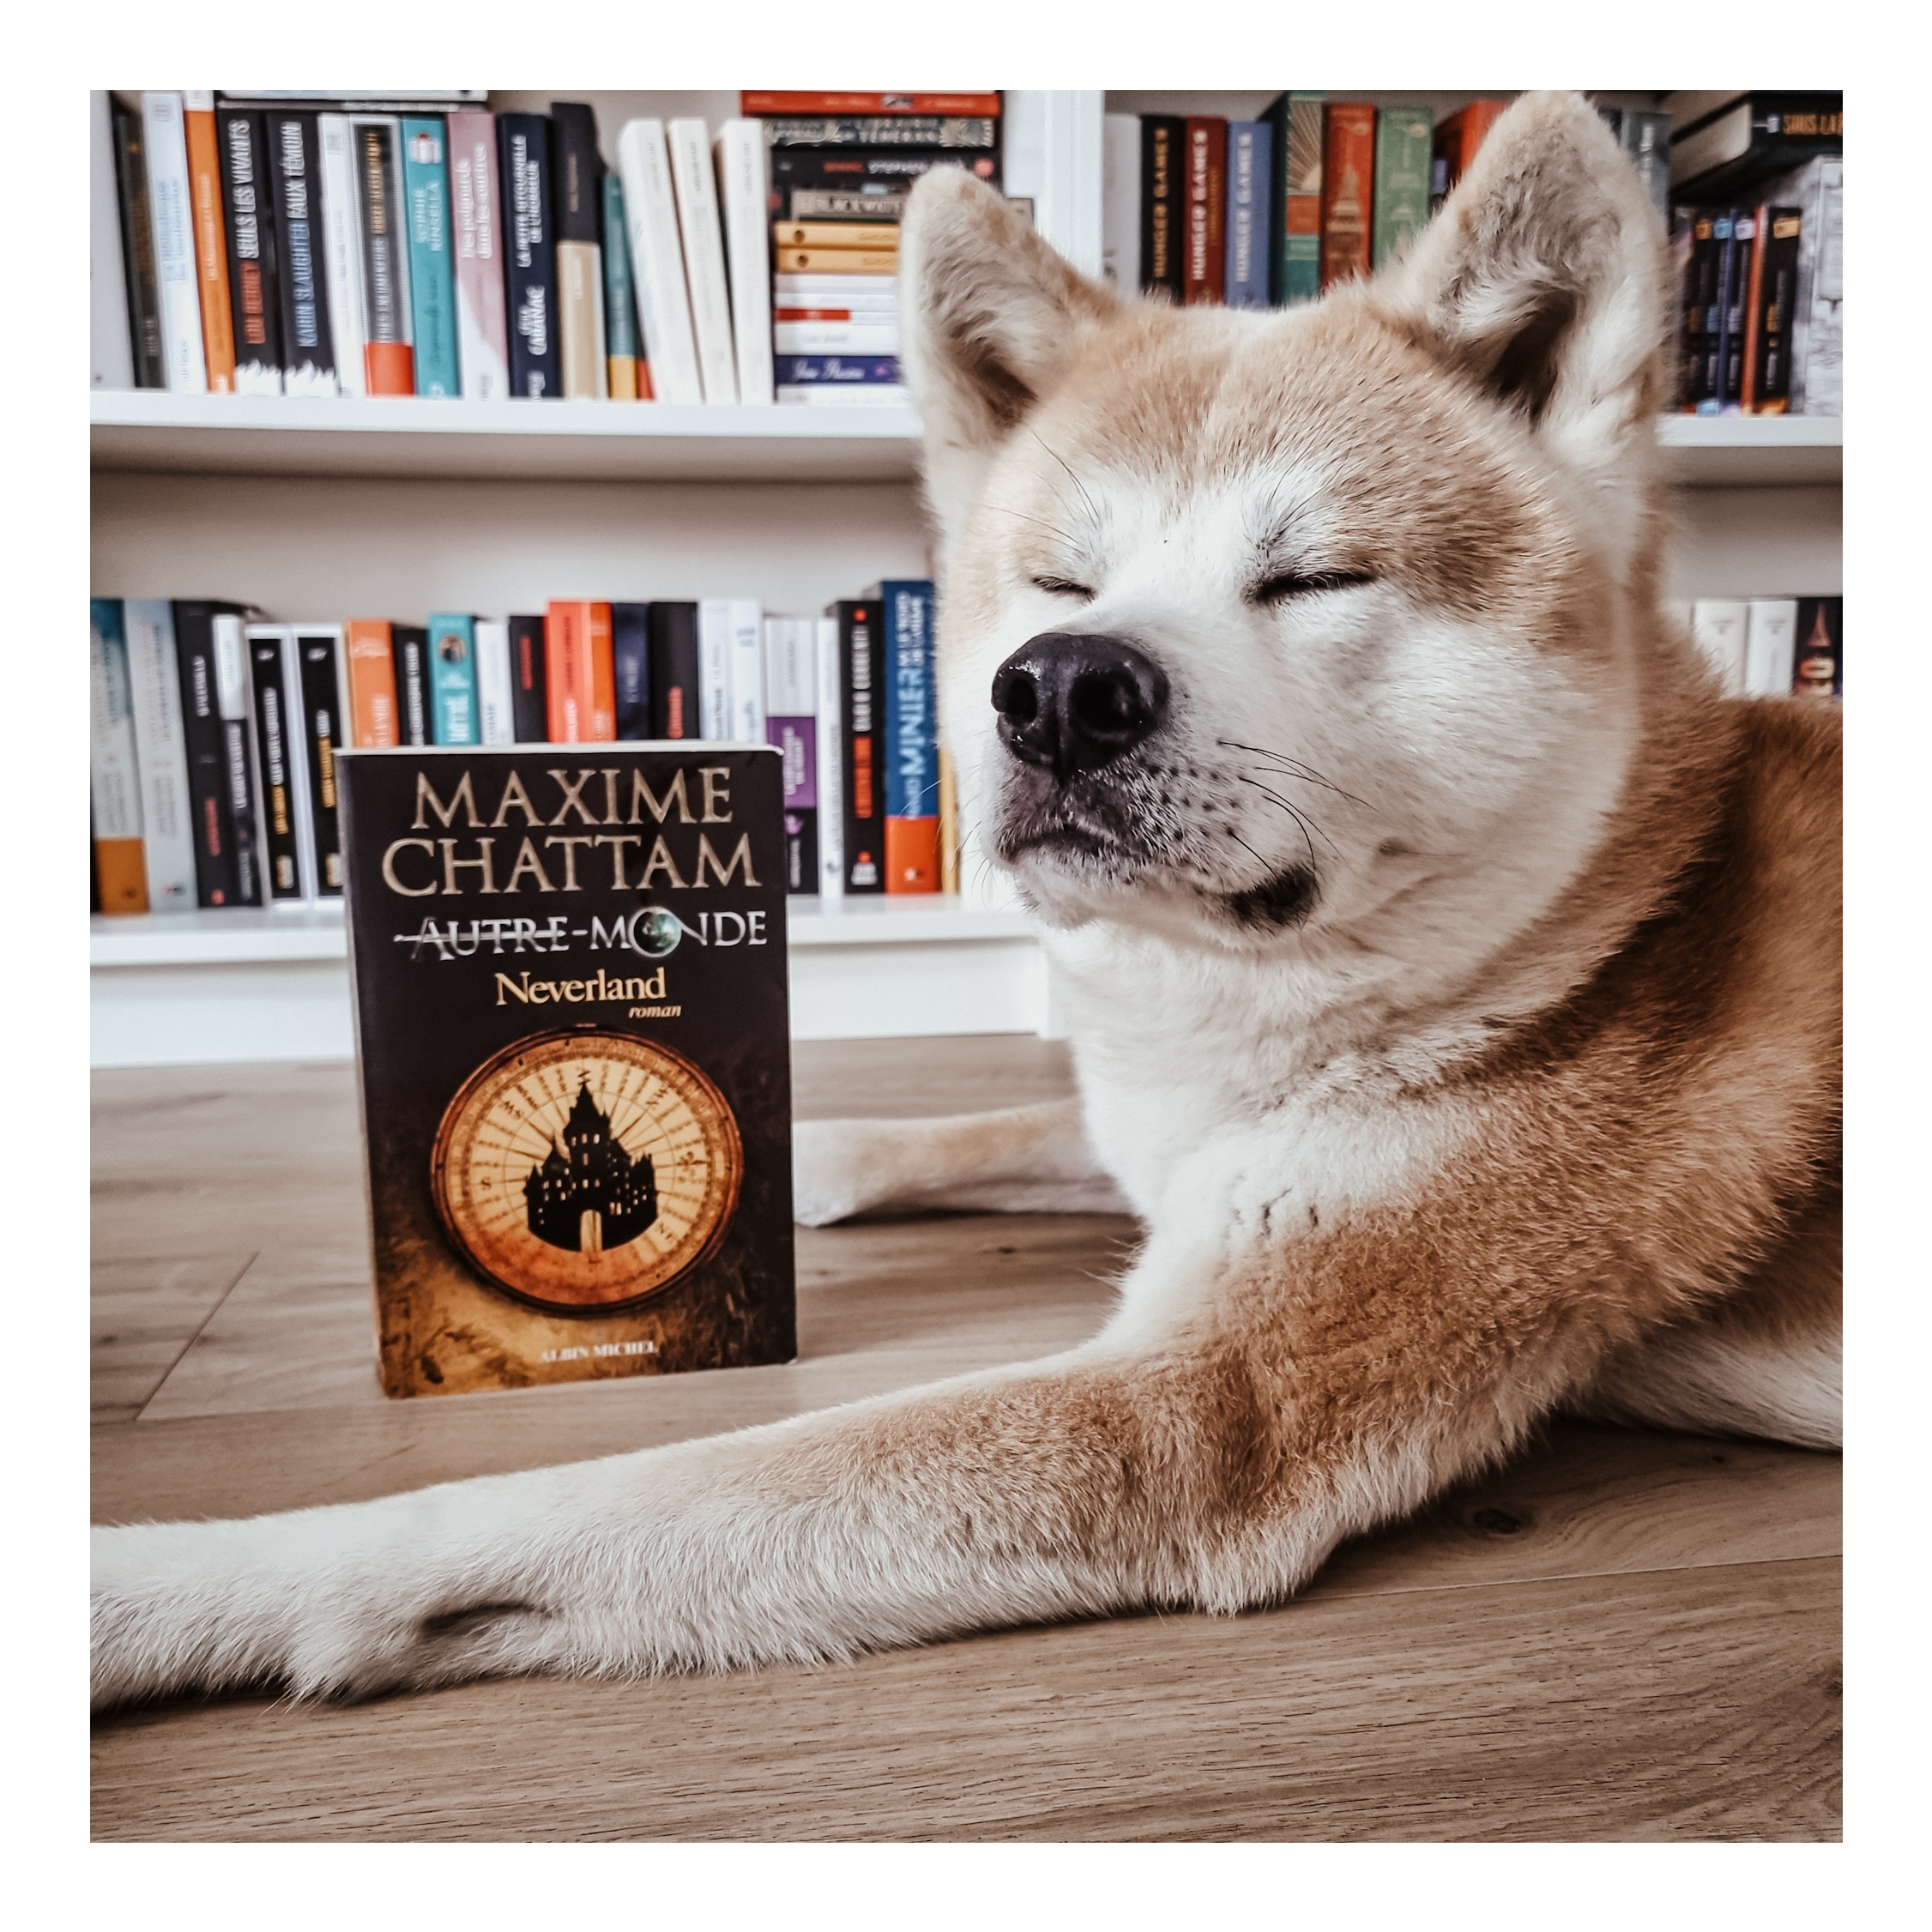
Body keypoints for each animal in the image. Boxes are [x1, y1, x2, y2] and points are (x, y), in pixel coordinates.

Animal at [91, 92, 1840, 1709]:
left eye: (1315, 577)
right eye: (1062, 582)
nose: (1057, 687)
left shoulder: (1192, 1401)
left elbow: (547, 1509)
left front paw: (165, 1584)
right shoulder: (1154, 1143)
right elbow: (995, 1125)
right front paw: (792, 1158)